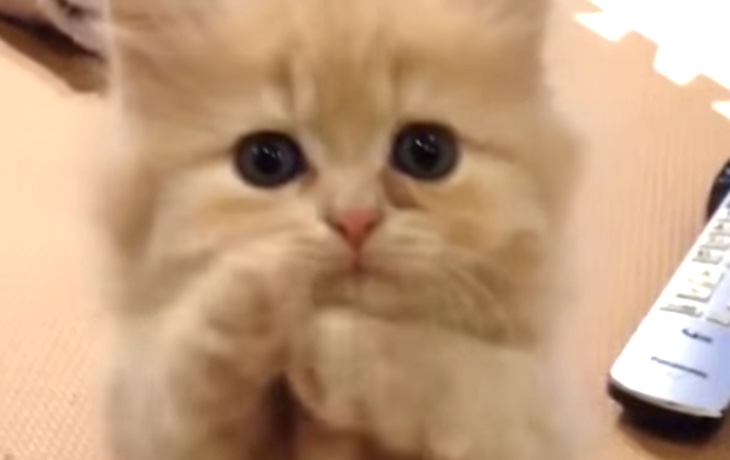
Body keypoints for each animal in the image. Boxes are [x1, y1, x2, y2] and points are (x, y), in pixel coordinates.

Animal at [95, 0, 583, 459]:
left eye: (427, 153)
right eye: (265, 161)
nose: (355, 219)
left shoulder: (543, 417)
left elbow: (469, 371)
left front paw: (332, 346)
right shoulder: (145, 421)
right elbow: (179, 377)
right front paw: (256, 282)